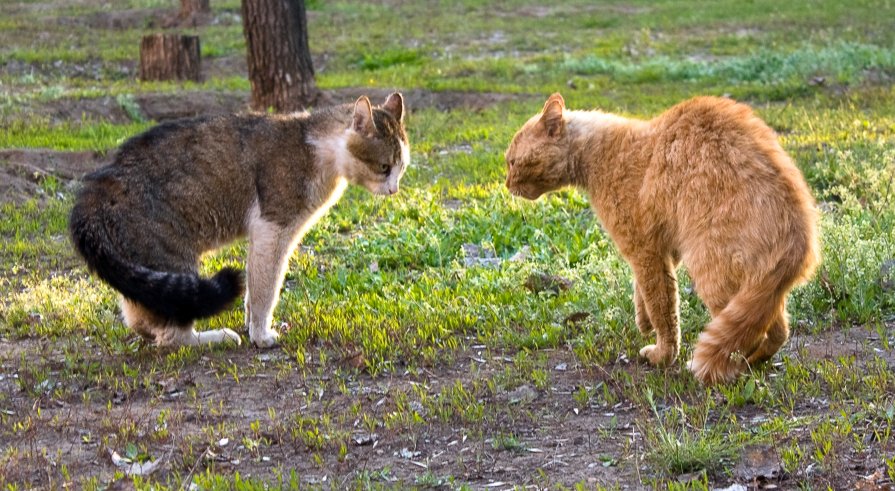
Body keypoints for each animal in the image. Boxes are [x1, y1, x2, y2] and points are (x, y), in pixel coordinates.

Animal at [504, 93, 820, 384]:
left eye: (512, 162)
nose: (506, 184)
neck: (599, 154)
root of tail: (799, 235)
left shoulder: (645, 251)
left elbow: (662, 308)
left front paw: (662, 354)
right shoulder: (666, 248)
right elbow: (641, 291)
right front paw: (642, 320)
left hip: (713, 274)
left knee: (749, 334)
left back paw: (727, 369)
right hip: (761, 291)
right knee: (776, 331)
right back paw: (752, 363)